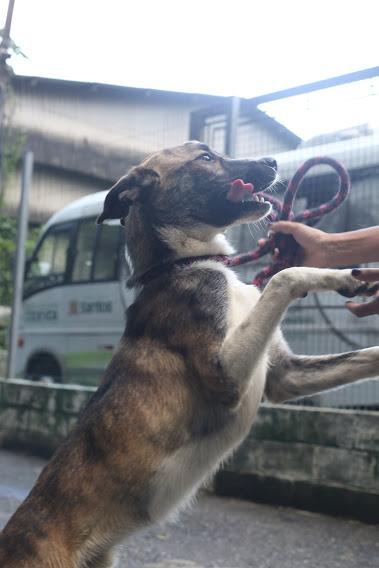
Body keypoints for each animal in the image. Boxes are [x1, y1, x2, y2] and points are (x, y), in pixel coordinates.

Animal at [0, 142, 379, 568]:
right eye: (206, 158)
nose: (271, 162)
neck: (186, 262)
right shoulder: (225, 377)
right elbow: (285, 275)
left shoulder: (284, 376)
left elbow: (357, 353)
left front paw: (347, 277)